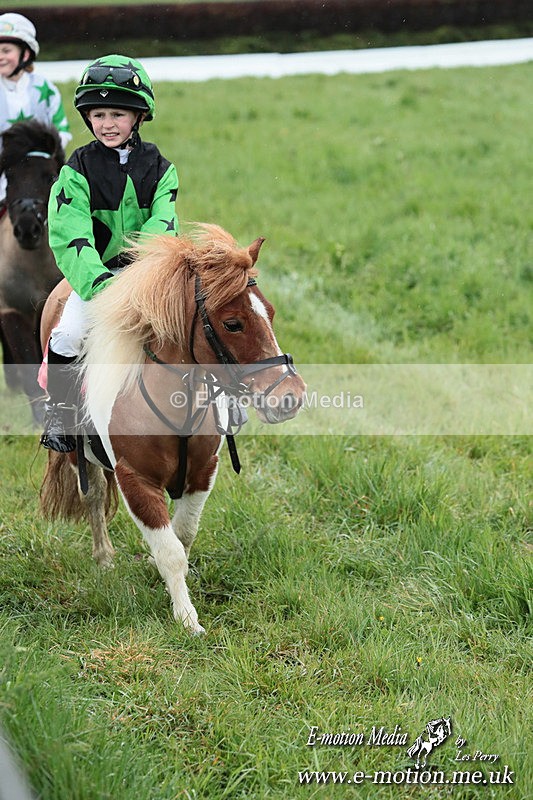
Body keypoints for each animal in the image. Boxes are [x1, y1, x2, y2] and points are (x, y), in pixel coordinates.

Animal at [39, 224, 306, 633]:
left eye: (271, 313)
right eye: (233, 323)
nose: (290, 396)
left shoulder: (202, 472)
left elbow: (182, 536)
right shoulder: (136, 481)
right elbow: (170, 551)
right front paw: (187, 620)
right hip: (75, 452)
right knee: (93, 496)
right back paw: (104, 558)